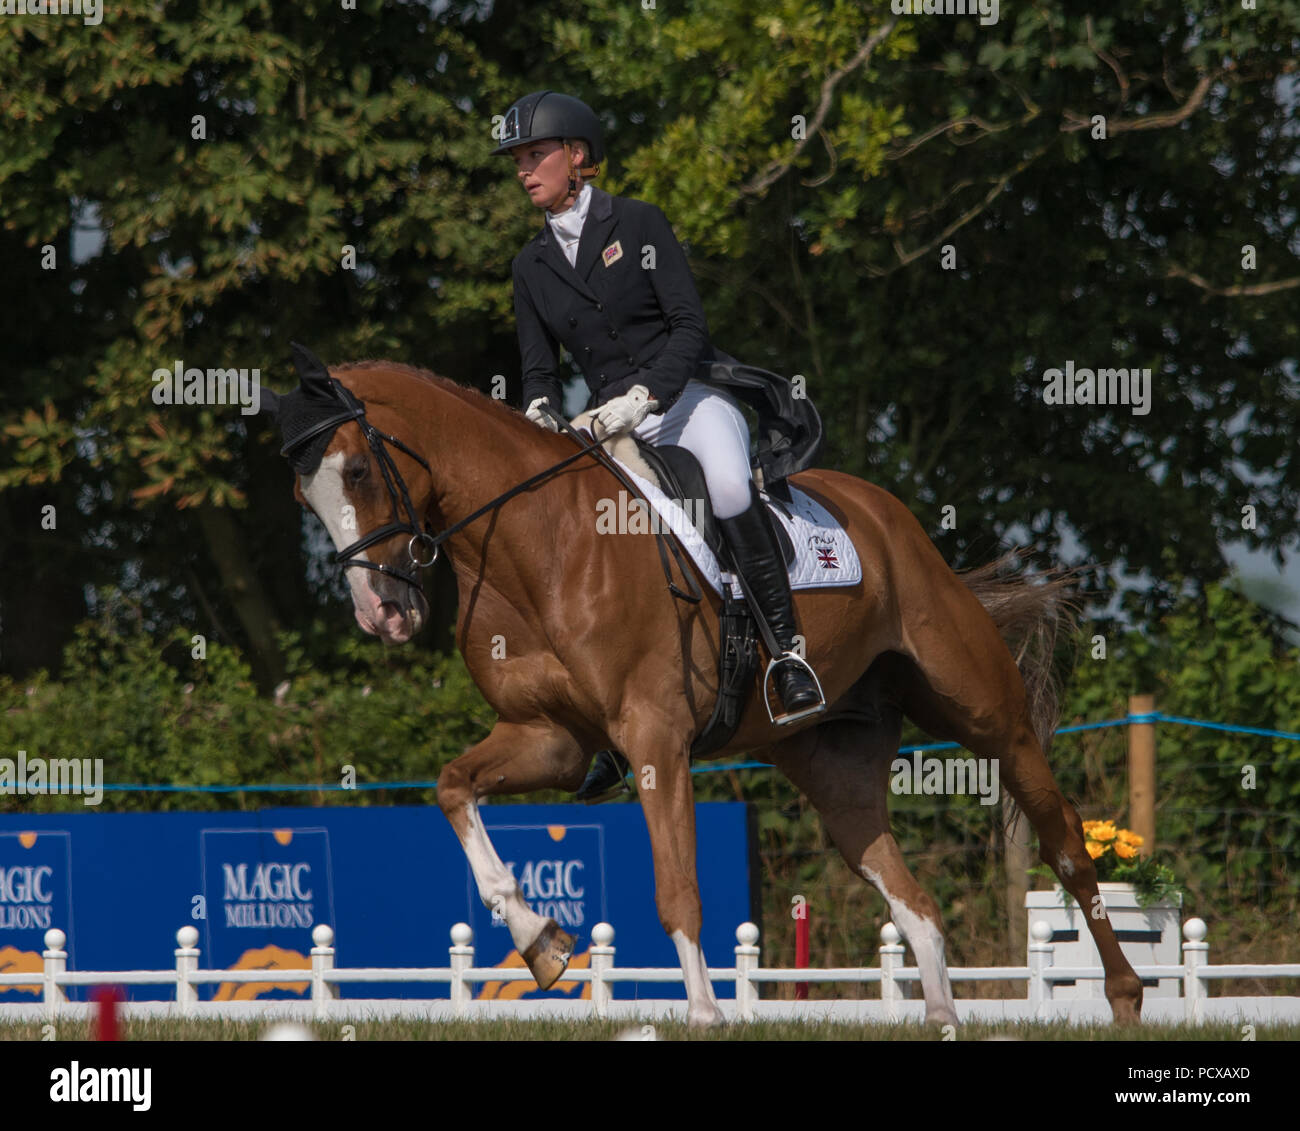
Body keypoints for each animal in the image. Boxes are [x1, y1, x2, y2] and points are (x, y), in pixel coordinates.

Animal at [261, 351, 1138, 1029]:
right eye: (303, 498)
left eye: (360, 470)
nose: (383, 612)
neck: (532, 548)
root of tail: (895, 519)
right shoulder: (552, 738)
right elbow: (452, 789)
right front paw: (541, 941)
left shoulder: (655, 737)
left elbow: (676, 887)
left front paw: (707, 1014)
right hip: (831, 765)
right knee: (910, 896)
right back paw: (945, 1017)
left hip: (985, 713)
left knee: (1064, 840)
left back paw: (1126, 995)